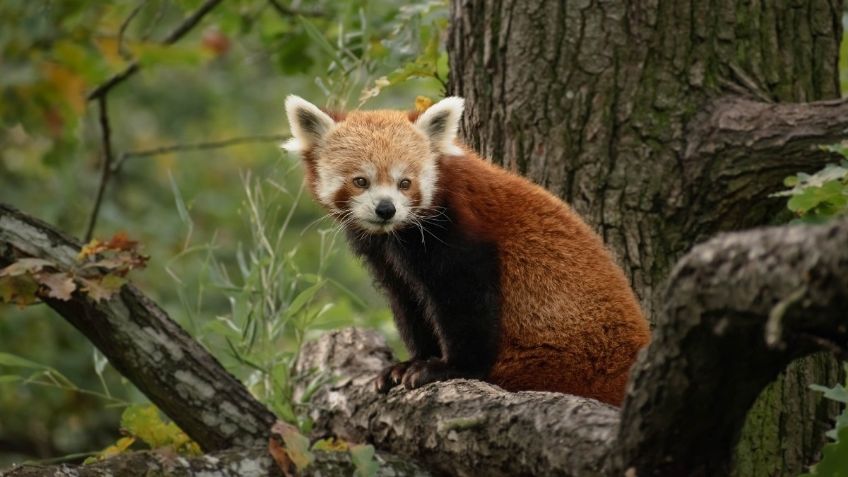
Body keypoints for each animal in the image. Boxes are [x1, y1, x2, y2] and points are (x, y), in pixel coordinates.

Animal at [284, 95, 648, 404]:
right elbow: (409, 302)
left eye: (405, 183)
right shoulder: (386, 258)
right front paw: (410, 362)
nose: (386, 209)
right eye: (361, 181)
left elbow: (466, 302)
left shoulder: (459, 234)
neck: (397, 235)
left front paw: (448, 368)